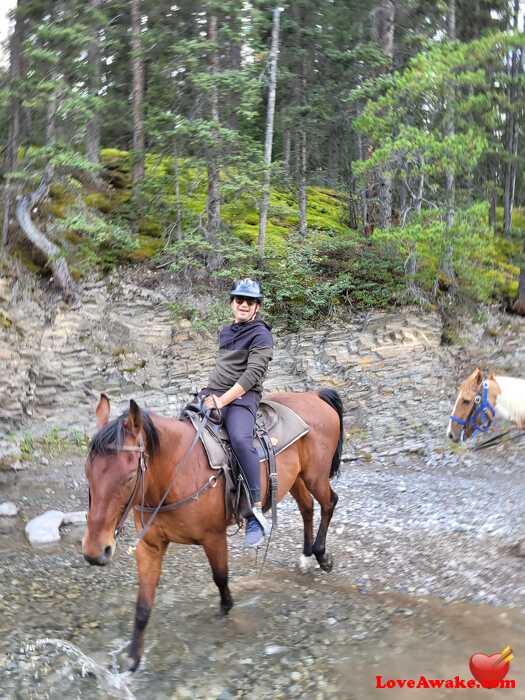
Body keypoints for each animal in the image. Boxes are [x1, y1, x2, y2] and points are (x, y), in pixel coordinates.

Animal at [82, 392, 344, 668]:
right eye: (87, 472)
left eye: (130, 477)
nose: (94, 551)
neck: (176, 472)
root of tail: (314, 395)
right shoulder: (149, 546)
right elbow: (143, 604)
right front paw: (133, 657)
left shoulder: (213, 537)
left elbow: (220, 577)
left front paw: (225, 608)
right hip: (296, 478)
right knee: (307, 508)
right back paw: (305, 556)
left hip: (315, 475)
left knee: (329, 503)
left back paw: (322, 555)